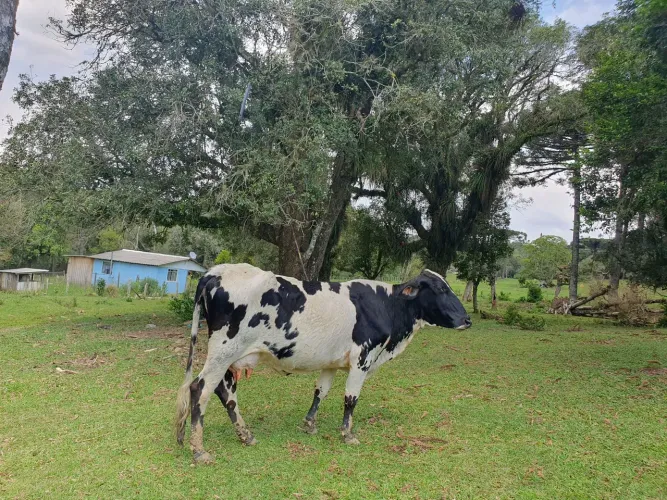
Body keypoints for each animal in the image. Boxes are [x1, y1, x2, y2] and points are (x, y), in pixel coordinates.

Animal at [175, 263, 471, 464]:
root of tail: (215, 272)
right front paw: (347, 434)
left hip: (229, 357)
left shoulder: (331, 361)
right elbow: (351, 398)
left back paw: (245, 435)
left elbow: (321, 391)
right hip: (223, 351)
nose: (467, 319)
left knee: (224, 392)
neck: (386, 305)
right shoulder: (362, 358)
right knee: (200, 389)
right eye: (440, 289)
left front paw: (309, 424)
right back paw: (199, 450)